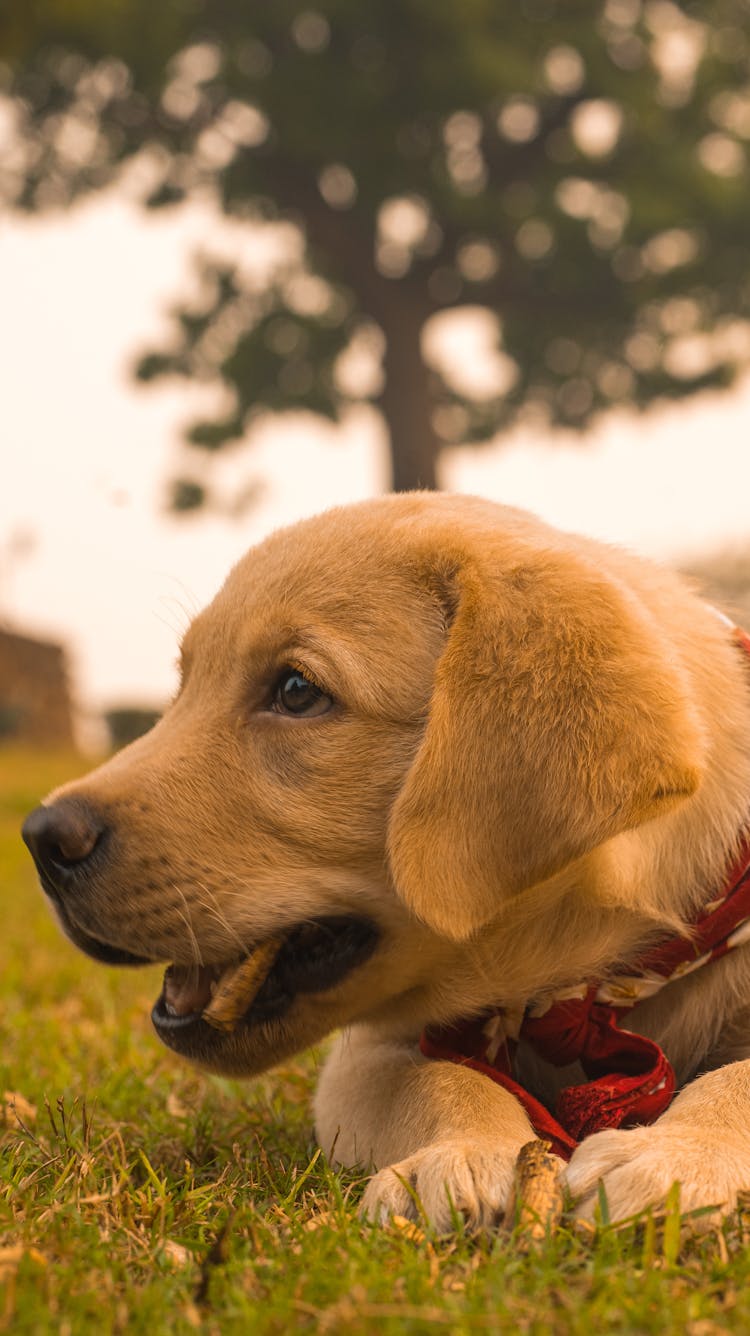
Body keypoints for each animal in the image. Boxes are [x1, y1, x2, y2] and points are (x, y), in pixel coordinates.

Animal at [20, 494, 748, 1229]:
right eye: (184, 687)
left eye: (296, 690)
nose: (41, 839)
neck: (579, 992)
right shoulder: (366, 1058)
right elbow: (437, 1079)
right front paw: (461, 1155)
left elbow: (737, 1076)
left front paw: (676, 1159)